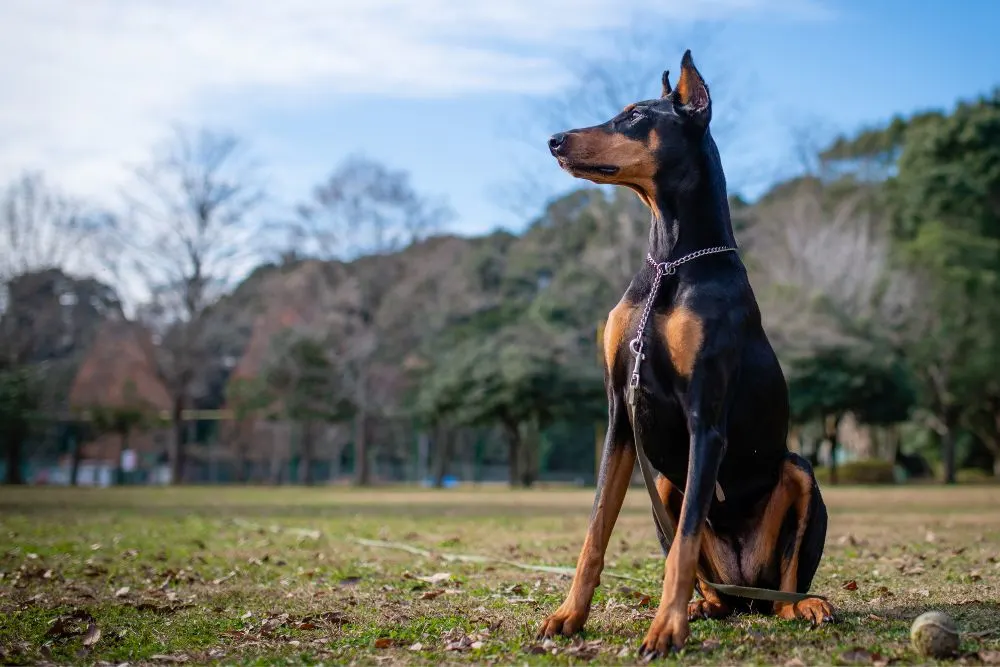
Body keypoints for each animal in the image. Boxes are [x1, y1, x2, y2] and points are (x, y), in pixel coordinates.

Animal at [544, 52, 832, 656]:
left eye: (634, 116)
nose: (554, 140)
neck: (670, 262)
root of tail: (746, 589)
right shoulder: (619, 414)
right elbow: (595, 530)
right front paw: (569, 614)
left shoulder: (706, 418)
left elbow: (683, 542)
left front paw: (665, 628)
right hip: (666, 485)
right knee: (718, 590)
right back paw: (706, 605)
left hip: (798, 471)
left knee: (785, 583)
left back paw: (805, 605)